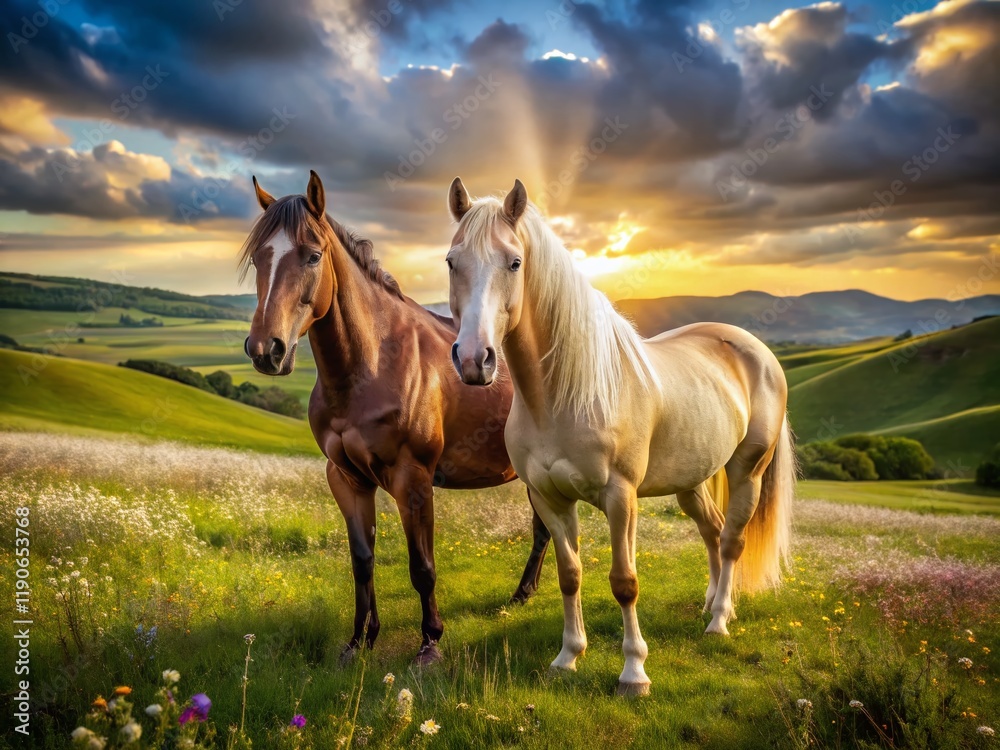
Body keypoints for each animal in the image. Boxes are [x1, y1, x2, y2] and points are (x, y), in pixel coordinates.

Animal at [238, 170, 551, 664]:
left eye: (313, 256)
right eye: (258, 259)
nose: (265, 350)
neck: (371, 365)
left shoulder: (413, 479)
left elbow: (422, 566)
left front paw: (430, 644)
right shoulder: (346, 478)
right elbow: (362, 561)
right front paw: (359, 641)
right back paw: (523, 593)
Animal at [443, 177, 794, 694]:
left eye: (514, 262)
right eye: (452, 261)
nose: (474, 360)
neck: (562, 396)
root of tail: (757, 350)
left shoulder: (620, 497)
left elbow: (624, 581)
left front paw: (634, 672)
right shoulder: (549, 498)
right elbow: (570, 574)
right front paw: (568, 657)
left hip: (748, 471)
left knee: (732, 540)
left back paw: (719, 622)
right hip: (691, 481)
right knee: (711, 531)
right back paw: (710, 605)